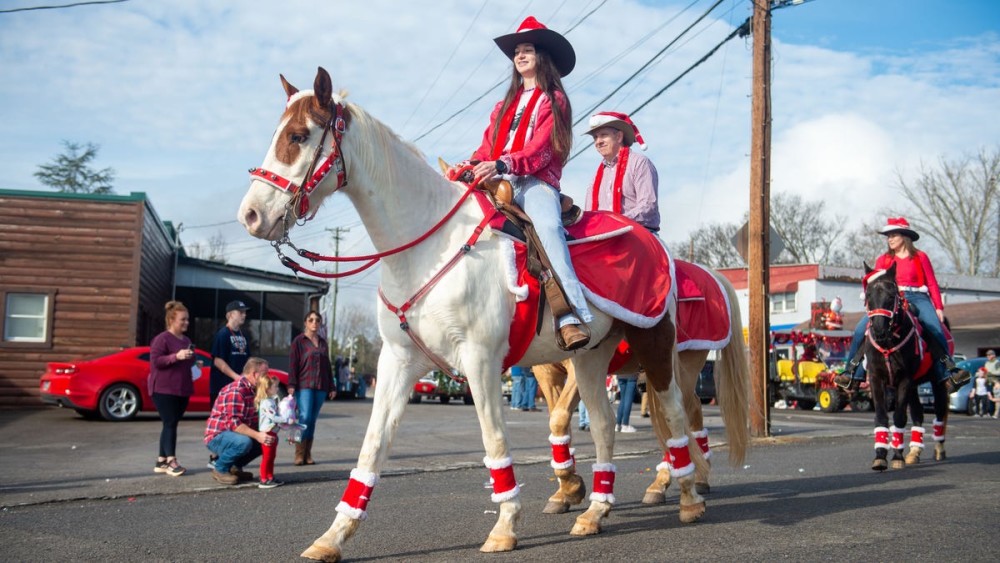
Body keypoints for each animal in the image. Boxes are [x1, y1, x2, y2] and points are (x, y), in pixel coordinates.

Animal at [238, 68, 708, 560]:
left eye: (298, 135)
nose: (250, 215)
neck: (429, 247)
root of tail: (654, 242)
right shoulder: (398, 361)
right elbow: (373, 447)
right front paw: (333, 536)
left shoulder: (481, 360)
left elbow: (493, 440)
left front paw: (505, 526)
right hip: (591, 357)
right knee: (602, 426)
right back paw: (595, 512)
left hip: (655, 344)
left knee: (676, 415)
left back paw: (689, 499)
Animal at [536, 266, 748, 512]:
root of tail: (712, 275)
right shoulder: (548, 376)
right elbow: (560, 424)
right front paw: (565, 491)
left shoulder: (578, 371)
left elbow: (559, 418)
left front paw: (570, 487)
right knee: (693, 409)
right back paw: (699, 476)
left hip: (683, 364)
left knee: (679, 414)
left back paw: (663, 484)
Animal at [864, 264, 948, 472]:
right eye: (868, 295)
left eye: (891, 295)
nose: (879, 331)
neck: (889, 342)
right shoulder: (876, 378)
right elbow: (881, 416)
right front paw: (880, 456)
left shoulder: (905, 378)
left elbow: (900, 417)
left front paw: (897, 457)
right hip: (914, 387)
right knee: (918, 414)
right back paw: (914, 452)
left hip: (936, 383)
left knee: (940, 413)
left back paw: (938, 449)